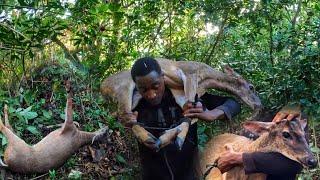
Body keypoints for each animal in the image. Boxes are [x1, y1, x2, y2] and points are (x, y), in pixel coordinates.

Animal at [100, 58, 262, 150]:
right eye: (251, 87)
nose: (260, 105)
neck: (207, 79)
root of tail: (102, 86)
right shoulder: (190, 73)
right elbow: (190, 109)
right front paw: (175, 139)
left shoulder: (179, 90)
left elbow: (190, 113)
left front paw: (171, 137)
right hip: (124, 86)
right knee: (125, 116)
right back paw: (149, 138)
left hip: (134, 96)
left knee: (117, 116)